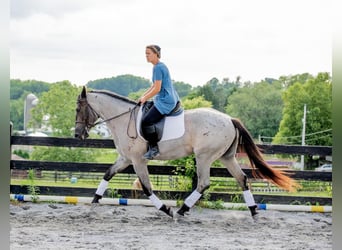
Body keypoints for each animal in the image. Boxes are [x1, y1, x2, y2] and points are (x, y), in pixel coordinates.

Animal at [75, 87, 300, 218]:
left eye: (78, 109)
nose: (78, 134)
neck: (123, 119)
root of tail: (229, 119)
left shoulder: (138, 160)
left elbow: (147, 188)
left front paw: (165, 209)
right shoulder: (124, 158)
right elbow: (107, 174)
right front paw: (93, 202)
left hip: (204, 157)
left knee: (203, 183)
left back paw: (183, 209)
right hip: (226, 157)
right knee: (242, 178)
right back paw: (253, 211)